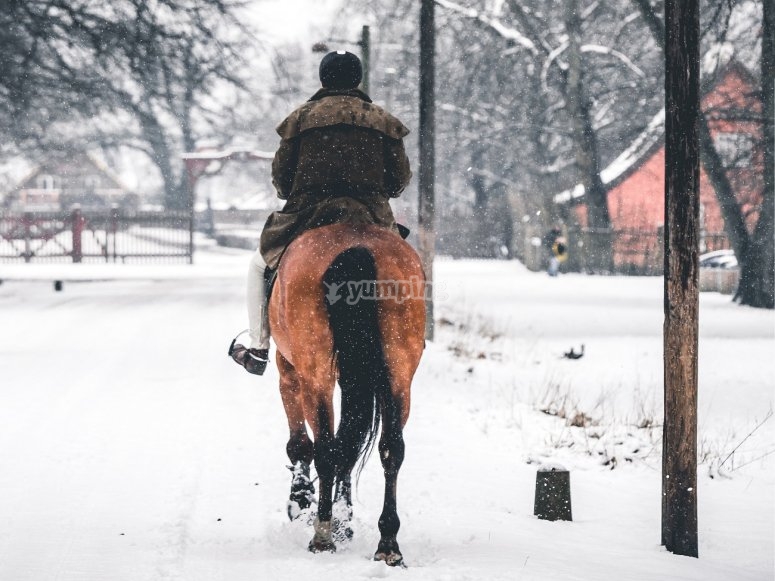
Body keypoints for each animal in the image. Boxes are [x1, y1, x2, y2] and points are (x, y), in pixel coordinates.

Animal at [268, 221, 428, 560]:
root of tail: (358, 243)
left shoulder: (288, 369)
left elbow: (300, 444)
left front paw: (300, 499)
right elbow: (351, 444)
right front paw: (345, 518)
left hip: (314, 373)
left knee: (325, 450)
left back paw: (322, 534)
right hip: (398, 374)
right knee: (390, 449)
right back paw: (388, 543)